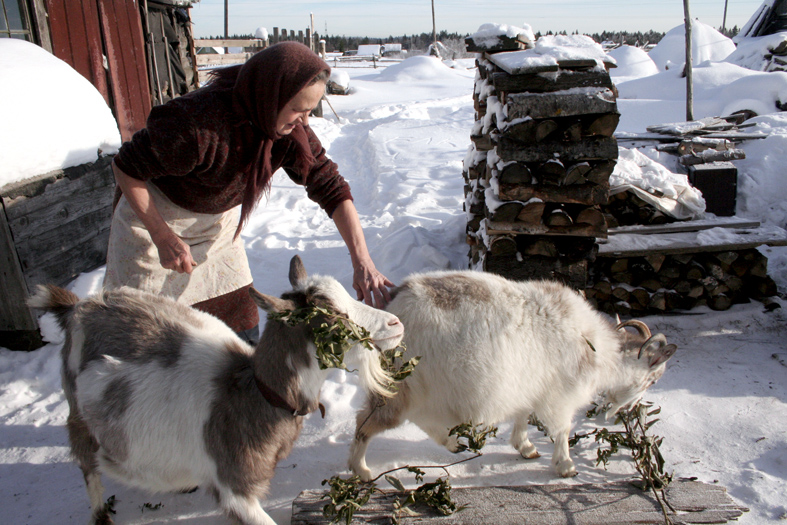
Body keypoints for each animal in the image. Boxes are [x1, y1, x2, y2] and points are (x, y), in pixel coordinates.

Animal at [27, 255, 404, 524]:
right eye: (331, 318)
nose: (395, 323)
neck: (253, 394)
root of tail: (77, 307)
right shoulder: (234, 488)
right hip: (79, 413)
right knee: (87, 463)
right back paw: (100, 514)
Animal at [350, 270, 676, 478]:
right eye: (652, 379)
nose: (632, 411)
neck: (596, 347)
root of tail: (394, 306)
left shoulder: (529, 387)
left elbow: (523, 416)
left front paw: (526, 447)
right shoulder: (561, 396)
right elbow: (562, 430)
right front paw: (566, 466)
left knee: (420, 420)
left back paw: (452, 444)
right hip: (403, 387)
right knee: (367, 422)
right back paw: (361, 471)